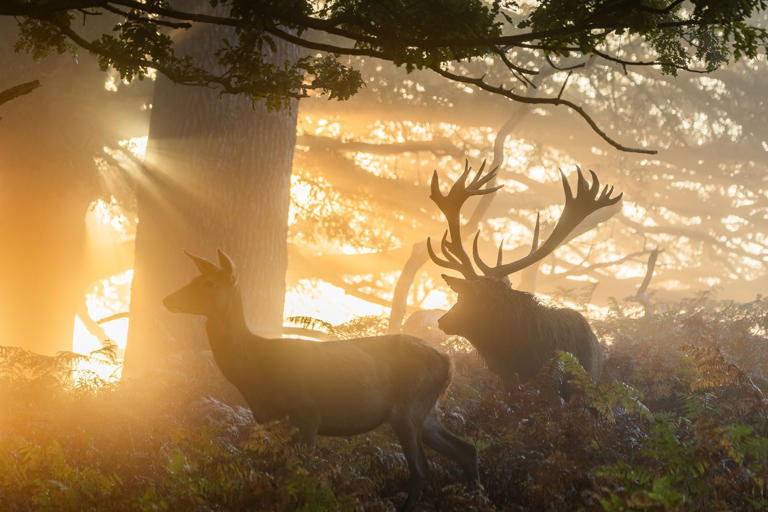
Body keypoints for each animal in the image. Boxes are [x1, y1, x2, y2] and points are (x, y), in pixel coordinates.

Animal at [163, 250, 479, 511]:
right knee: (466, 450)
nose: (168, 299)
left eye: (209, 284)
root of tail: (448, 363)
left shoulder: (307, 413)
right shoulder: (270, 421)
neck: (255, 372)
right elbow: (277, 473)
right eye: (195, 278)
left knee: (421, 467)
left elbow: (298, 473)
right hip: (427, 411)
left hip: (408, 407)